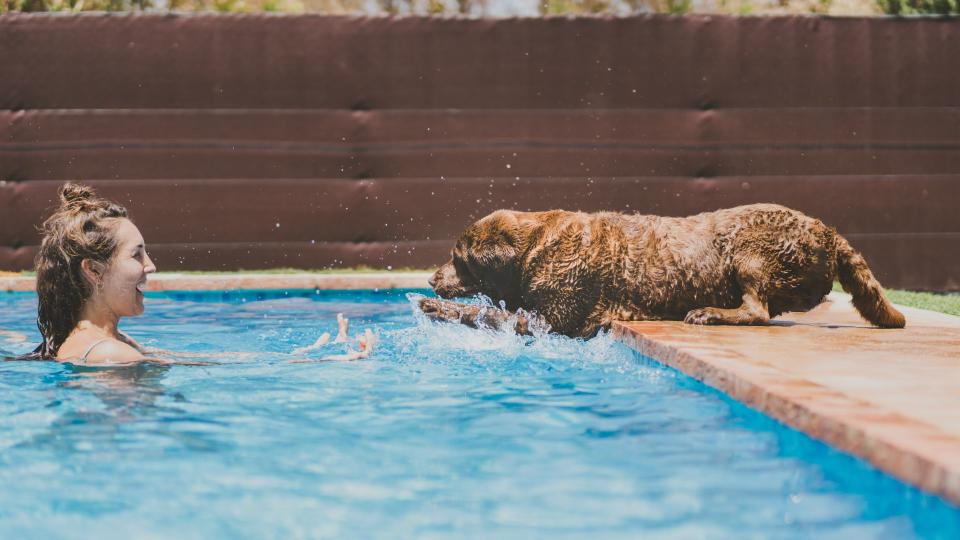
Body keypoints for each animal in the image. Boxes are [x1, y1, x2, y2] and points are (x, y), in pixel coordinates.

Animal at [420, 204, 908, 338]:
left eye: (458, 259)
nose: (430, 278)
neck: (537, 246)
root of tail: (827, 231)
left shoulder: (550, 318)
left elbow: (492, 313)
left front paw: (436, 308)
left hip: (748, 245)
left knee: (757, 310)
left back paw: (711, 313)